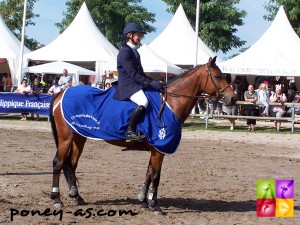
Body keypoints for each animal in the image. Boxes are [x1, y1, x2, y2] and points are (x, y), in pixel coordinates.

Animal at [49, 56, 237, 214]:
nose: (233, 99)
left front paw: (144, 201)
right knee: (58, 163)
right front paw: (155, 205)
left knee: (71, 164)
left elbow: (148, 173)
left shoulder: (155, 149)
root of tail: (61, 93)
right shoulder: (159, 148)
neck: (170, 103)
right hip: (66, 138)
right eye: (218, 76)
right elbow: (155, 176)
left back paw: (77, 197)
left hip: (79, 137)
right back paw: (57, 199)